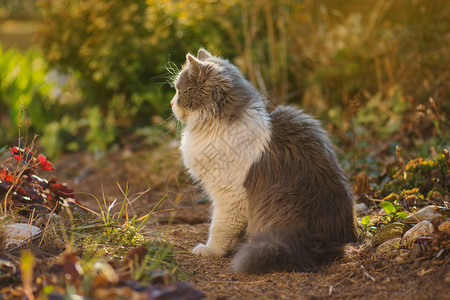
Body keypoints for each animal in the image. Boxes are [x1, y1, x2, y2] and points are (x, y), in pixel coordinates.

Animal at [171, 49, 356, 274]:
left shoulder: (230, 195)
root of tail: (321, 240)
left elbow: (219, 227)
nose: (171, 103)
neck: (217, 127)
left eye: (179, 92)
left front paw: (210, 250)